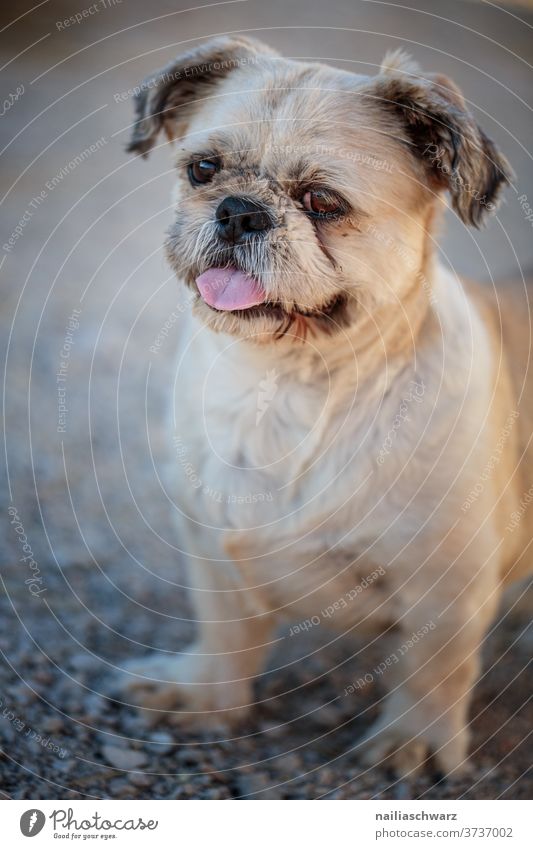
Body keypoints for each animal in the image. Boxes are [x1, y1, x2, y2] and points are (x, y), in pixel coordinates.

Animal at [118, 34, 528, 776]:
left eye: (321, 200)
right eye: (202, 169)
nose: (239, 209)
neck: (286, 384)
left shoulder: (447, 585)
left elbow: (434, 667)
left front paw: (414, 742)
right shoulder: (210, 547)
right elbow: (226, 630)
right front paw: (207, 697)